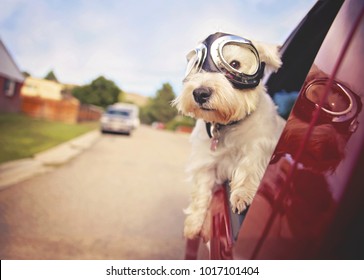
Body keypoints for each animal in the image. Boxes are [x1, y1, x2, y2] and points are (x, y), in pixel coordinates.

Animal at [172, 32, 286, 238]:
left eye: (234, 64)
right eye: (196, 66)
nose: (200, 93)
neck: (228, 125)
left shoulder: (260, 146)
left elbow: (249, 166)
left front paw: (242, 195)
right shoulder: (205, 163)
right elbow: (201, 191)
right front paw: (193, 224)